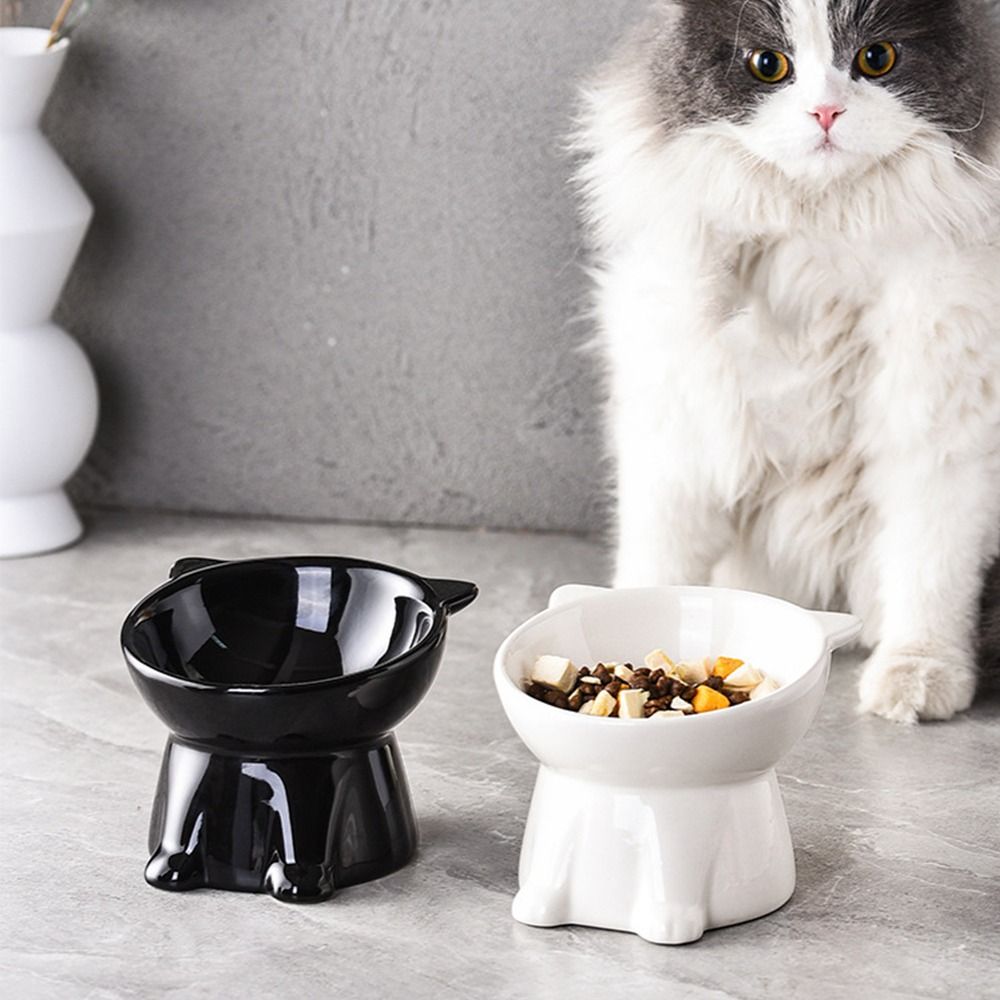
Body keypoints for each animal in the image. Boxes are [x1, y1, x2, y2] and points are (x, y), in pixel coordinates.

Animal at [575, 0, 1000, 722]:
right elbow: (658, 557)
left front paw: (916, 676)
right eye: (768, 65)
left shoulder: (945, 419)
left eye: (876, 58)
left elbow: (929, 570)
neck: (820, 234)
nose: (825, 112)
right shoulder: (675, 409)